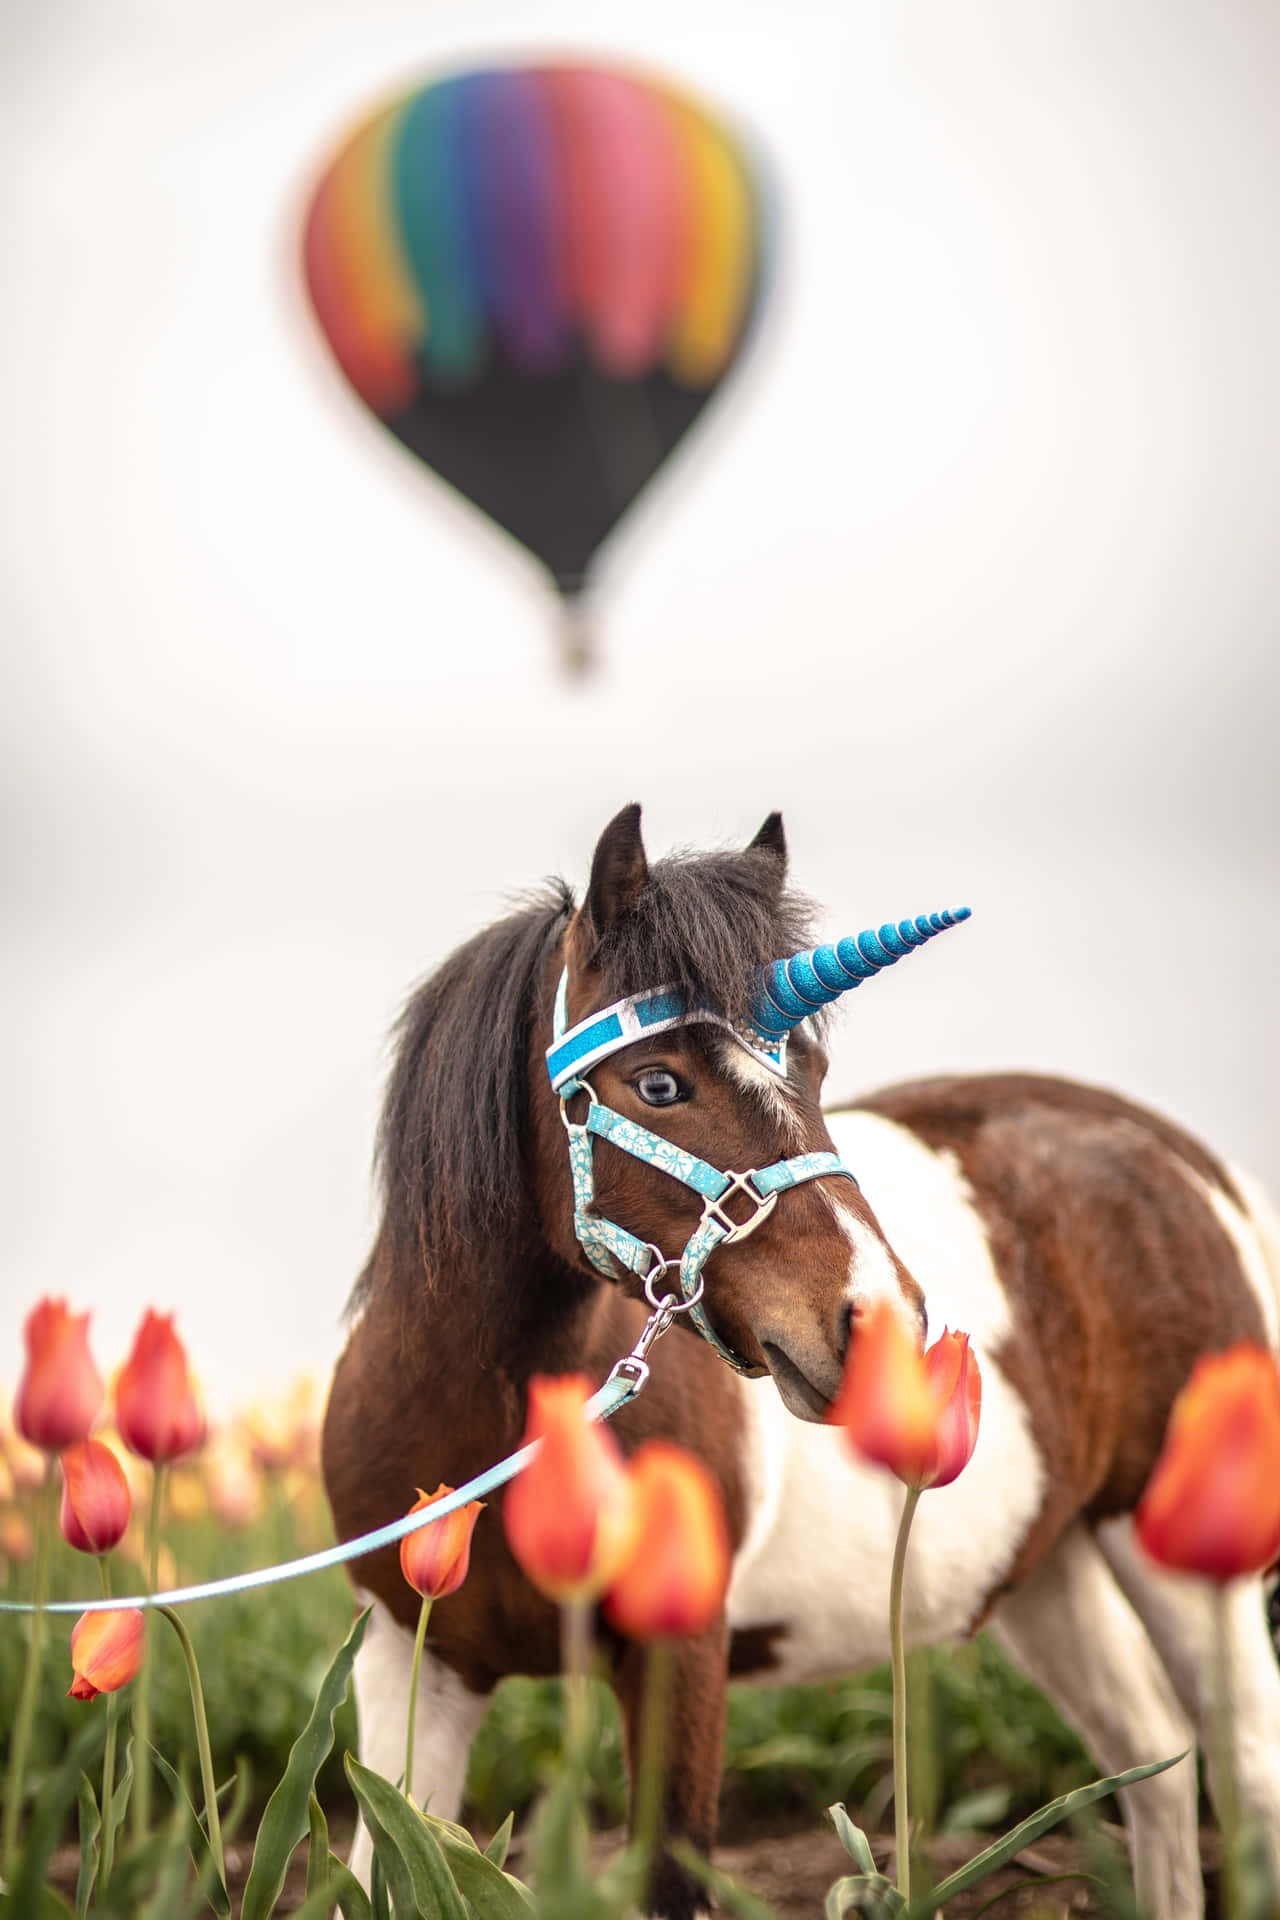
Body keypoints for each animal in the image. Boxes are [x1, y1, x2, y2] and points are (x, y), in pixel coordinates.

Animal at [322, 802, 1280, 1912]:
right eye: (659, 1082)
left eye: (812, 1072)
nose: (881, 1324)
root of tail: (1172, 1152)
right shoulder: (411, 1659)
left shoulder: (678, 1656)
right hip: (1051, 1563)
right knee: (1153, 1765)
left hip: (1178, 1557)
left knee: (1240, 1771)